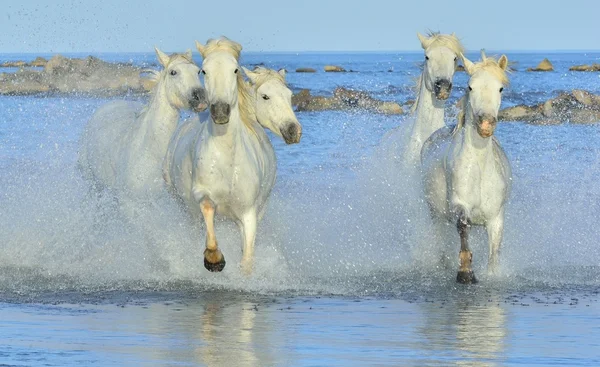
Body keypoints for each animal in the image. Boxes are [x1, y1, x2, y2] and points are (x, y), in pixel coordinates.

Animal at [163, 38, 300, 274]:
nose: (293, 131)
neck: (227, 158)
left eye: (235, 69)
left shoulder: (249, 214)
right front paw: (213, 258)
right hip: (187, 210)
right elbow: (208, 208)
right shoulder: (201, 195)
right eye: (203, 70)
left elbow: (247, 259)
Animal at [422, 50, 510, 284]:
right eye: (470, 87)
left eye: (500, 88)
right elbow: (463, 227)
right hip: (436, 215)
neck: (479, 166)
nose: (486, 123)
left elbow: (494, 252)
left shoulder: (495, 218)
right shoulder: (459, 206)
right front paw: (465, 273)